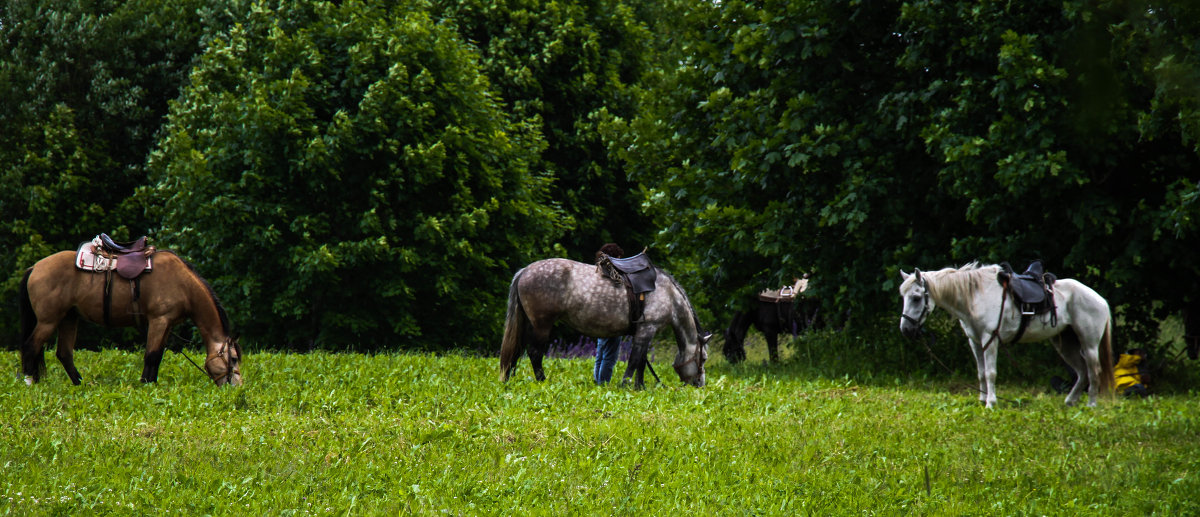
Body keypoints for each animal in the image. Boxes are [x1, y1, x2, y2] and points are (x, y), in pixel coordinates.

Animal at [17, 249, 242, 386]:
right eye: (233, 358)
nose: (237, 387)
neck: (184, 284)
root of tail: (34, 268)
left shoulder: (166, 324)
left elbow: (157, 356)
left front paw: (152, 383)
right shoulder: (159, 320)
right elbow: (151, 355)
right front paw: (146, 384)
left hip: (69, 318)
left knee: (64, 354)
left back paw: (80, 384)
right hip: (48, 321)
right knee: (31, 346)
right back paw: (29, 382)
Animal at [499, 259, 710, 388]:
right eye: (704, 358)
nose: (700, 384)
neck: (669, 296)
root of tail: (524, 271)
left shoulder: (644, 332)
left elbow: (641, 362)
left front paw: (640, 387)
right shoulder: (646, 330)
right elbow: (635, 360)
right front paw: (625, 384)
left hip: (528, 324)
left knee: (516, 352)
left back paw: (508, 380)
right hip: (542, 325)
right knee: (535, 353)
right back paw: (543, 381)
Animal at [902, 262, 1113, 407]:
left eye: (916, 298)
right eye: (903, 297)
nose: (906, 330)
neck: (975, 296)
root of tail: (1100, 299)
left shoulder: (990, 339)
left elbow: (990, 372)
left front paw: (991, 403)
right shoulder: (975, 342)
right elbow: (981, 372)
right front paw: (982, 399)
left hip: (1089, 344)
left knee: (1093, 371)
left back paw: (1091, 404)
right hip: (1065, 344)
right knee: (1081, 372)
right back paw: (1070, 401)